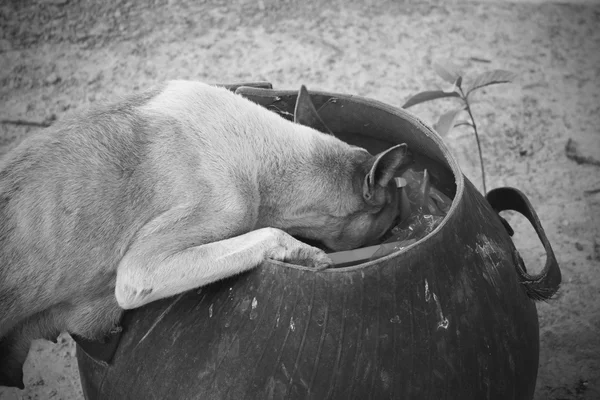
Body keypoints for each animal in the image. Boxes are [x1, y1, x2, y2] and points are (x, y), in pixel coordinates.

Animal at [0, 81, 408, 388]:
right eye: (389, 223)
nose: (391, 239)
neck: (263, 153)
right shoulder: (141, 271)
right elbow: (270, 234)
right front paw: (304, 253)